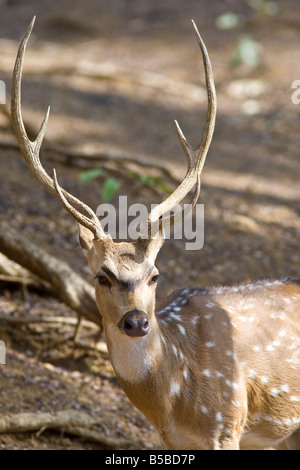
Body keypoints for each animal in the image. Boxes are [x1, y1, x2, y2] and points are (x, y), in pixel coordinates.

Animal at [10, 18, 298, 450]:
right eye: (102, 276)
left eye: (155, 275)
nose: (136, 322)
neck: (174, 399)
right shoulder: (173, 440)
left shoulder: (228, 423)